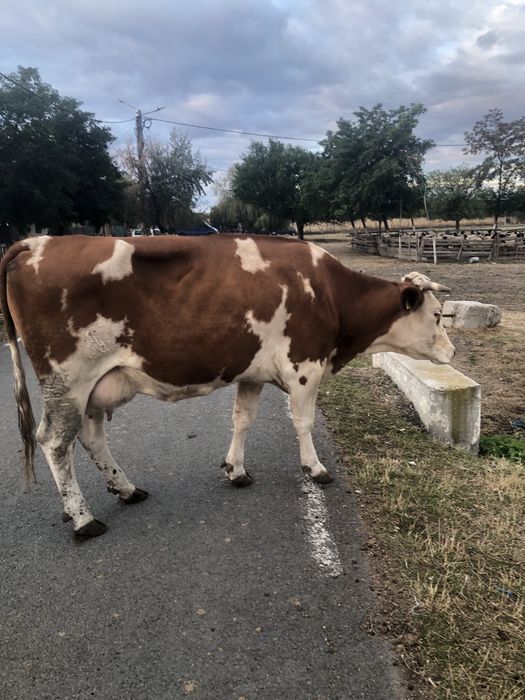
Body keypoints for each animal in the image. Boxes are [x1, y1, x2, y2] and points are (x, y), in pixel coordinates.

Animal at [0, 235, 454, 538]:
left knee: (92, 438)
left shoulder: (252, 373)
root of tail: (37, 242)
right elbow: (303, 422)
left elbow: (242, 420)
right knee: (55, 441)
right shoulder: (304, 366)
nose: (451, 352)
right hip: (67, 381)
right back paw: (83, 518)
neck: (328, 293)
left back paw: (126, 490)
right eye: (436, 315)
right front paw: (314, 468)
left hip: (95, 386)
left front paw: (235, 470)